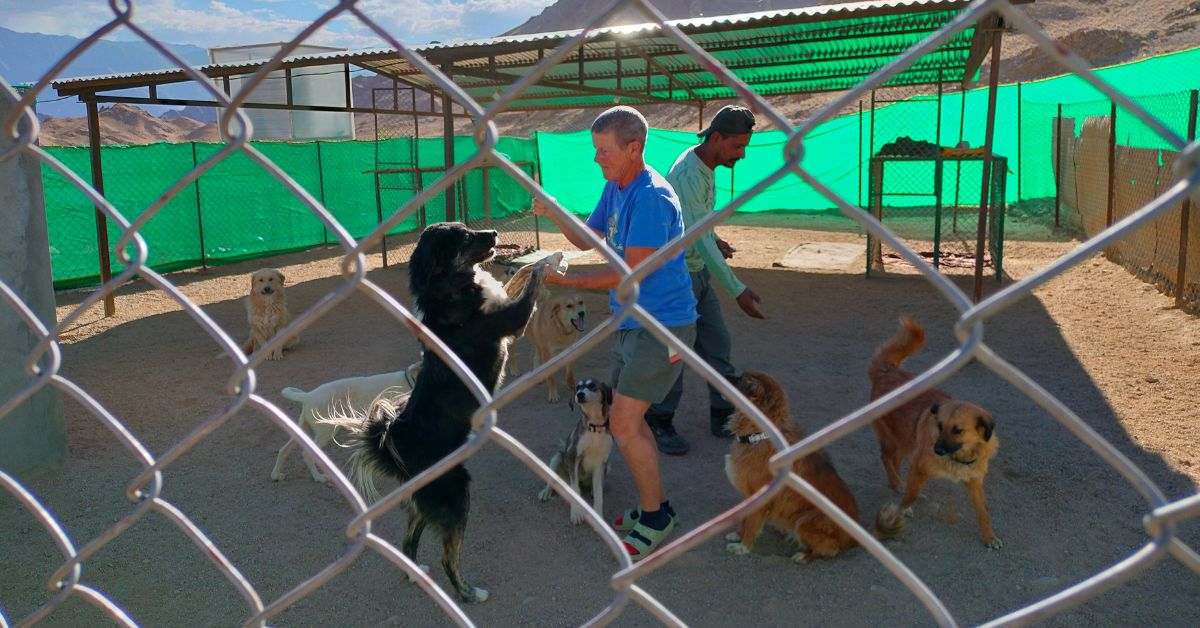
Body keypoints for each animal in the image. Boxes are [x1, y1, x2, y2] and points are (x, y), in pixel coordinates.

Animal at [272, 360, 422, 485]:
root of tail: (308, 396)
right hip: (325, 433)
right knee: (306, 455)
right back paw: (318, 477)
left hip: (303, 429)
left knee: (283, 450)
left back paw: (276, 475)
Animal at [720, 372, 902, 561]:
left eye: (739, 380)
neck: (760, 434)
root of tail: (854, 536)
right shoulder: (748, 496)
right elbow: (744, 520)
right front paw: (738, 535)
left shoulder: (761, 497)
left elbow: (752, 524)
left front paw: (743, 547)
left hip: (804, 520)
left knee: (829, 549)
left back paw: (803, 556)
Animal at [873, 317, 1003, 547]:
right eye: (939, 425)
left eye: (958, 430)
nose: (936, 449)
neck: (959, 457)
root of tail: (888, 371)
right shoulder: (919, 466)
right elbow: (912, 493)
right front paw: (902, 510)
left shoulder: (974, 482)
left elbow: (983, 513)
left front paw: (989, 536)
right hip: (901, 437)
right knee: (886, 457)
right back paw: (898, 483)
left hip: (910, 439)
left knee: (894, 459)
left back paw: (897, 483)